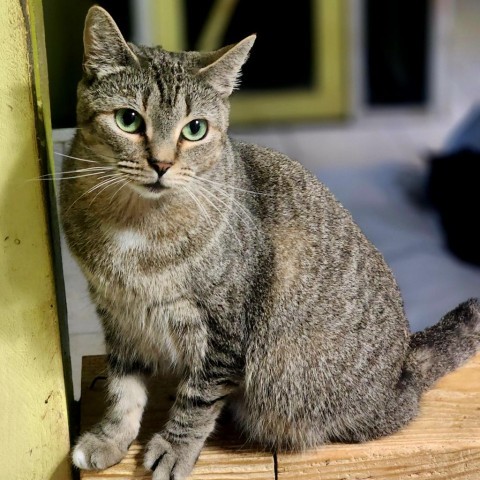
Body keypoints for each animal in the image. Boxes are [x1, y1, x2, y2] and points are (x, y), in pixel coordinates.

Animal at [62, 4, 480, 480]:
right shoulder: (118, 314)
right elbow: (122, 388)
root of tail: (403, 370)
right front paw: (111, 437)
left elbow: (198, 399)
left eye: (195, 129)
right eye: (128, 120)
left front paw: (175, 446)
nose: (162, 164)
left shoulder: (224, 330)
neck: (137, 222)